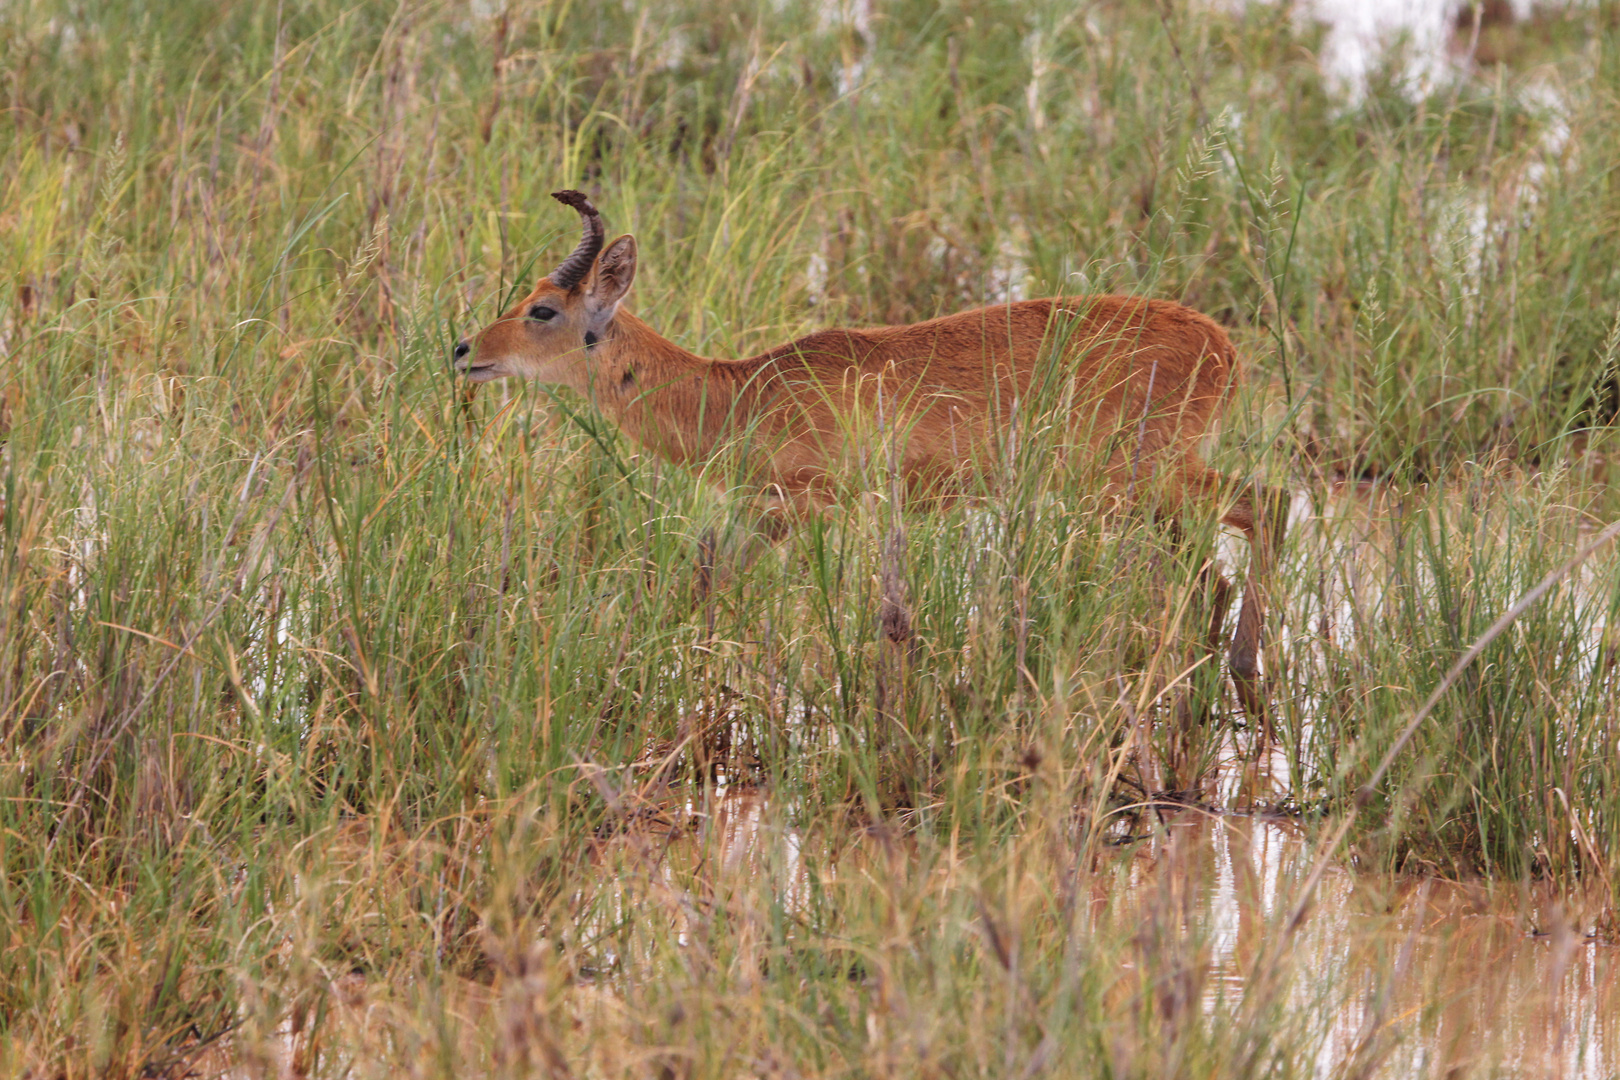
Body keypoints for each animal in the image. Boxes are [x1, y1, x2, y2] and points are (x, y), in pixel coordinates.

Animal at [460, 190, 1289, 722]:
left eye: (544, 309)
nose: (465, 349)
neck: (739, 392)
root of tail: (1223, 345)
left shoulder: (828, 505)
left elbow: (877, 616)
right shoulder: (773, 512)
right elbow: (699, 580)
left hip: (1134, 481)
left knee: (1263, 509)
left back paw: (1245, 674)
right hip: (1140, 492)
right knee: (1218, 562)